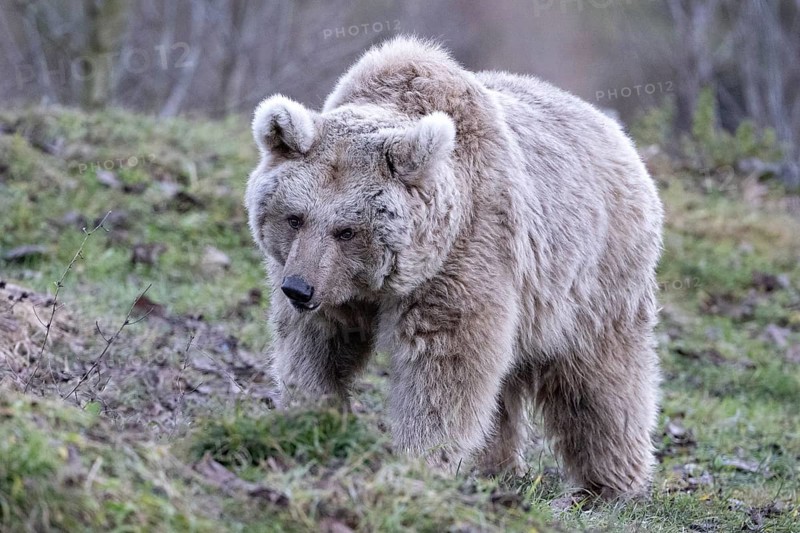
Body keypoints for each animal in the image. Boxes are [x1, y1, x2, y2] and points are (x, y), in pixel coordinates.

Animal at [245, 36, 664, 500]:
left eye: (347, 229)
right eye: (295, 217)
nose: (299, 289)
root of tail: (617, 134)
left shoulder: (464, 254)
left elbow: (444, 367)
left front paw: (421, 458)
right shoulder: (328, 283)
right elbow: (315, 347)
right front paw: (308, 415)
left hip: (595, 277)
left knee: (600, 379)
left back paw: (608, 484)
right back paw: (496, 467)